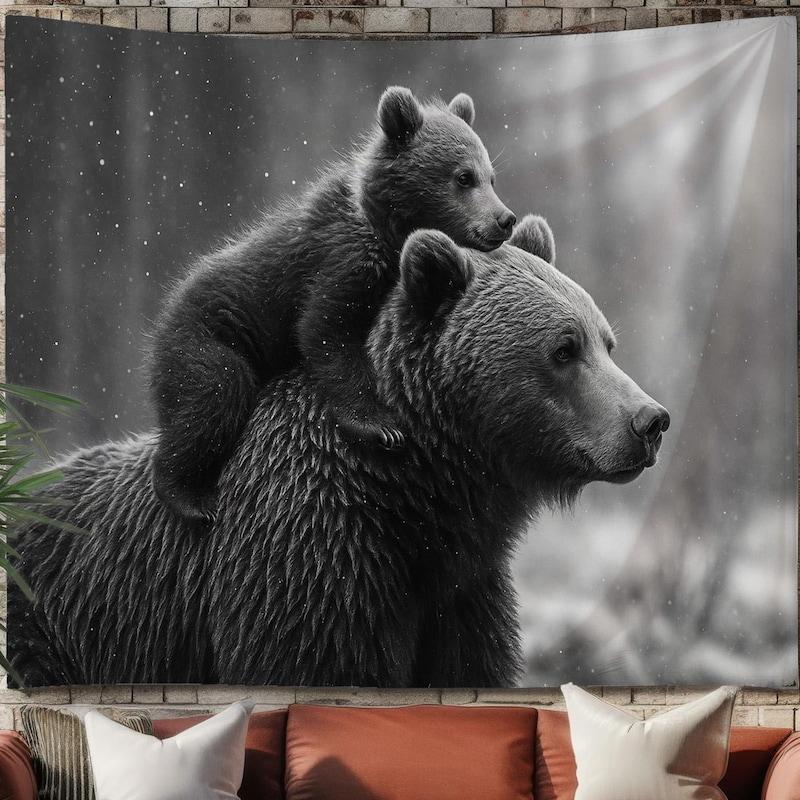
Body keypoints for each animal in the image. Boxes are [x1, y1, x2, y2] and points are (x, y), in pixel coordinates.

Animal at [8, 217, 669, 688]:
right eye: (564, 348)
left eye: (606, 341)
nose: (650, 421)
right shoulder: (313, 558)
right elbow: (317, 664)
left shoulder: (459, 594)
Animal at [149, 85, 517, 525]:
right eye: (464, 176)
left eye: (492, 176)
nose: (505, 219)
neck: (387, 229)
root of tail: (160, 324)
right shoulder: (341, 259)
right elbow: (325, 330)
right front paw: (382, 425)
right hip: (206, 339)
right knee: (214, 396)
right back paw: (189, 497)